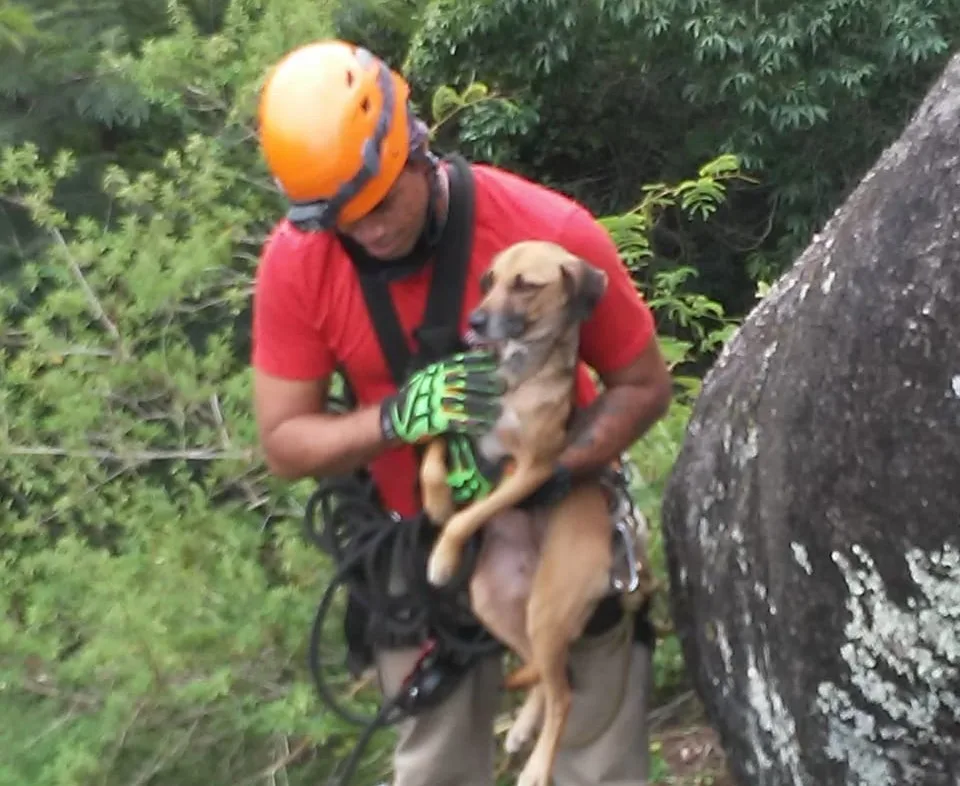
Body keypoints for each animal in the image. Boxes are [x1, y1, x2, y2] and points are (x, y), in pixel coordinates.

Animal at [420, 237, 644, 784]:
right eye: (489, 279)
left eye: (526, 286)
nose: (476, 320)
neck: (513, 374)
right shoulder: (453, 424)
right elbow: (431, 458)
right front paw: (436, 501)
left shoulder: (532, 470)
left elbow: (472, 514)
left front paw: (443, 554)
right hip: (494, 604)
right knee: (544, 673)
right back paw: (524, 726)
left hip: (547, 609)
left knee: (564, 692)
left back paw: (538, 766)